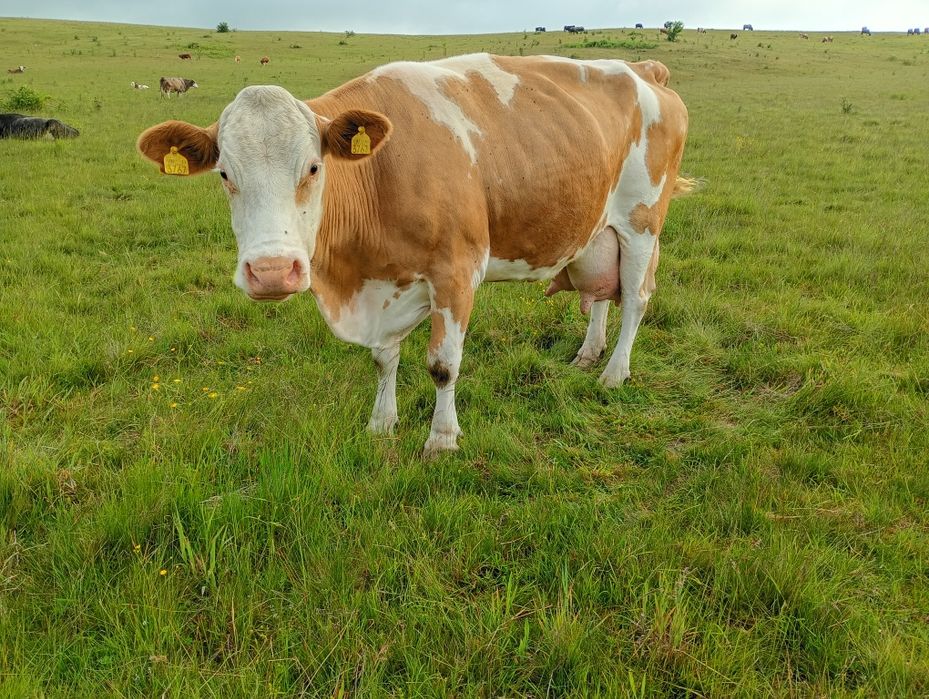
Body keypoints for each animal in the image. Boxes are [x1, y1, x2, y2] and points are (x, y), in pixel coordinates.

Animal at [137, 54, 691, 458]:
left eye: (314, 167)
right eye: (224, 173)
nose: (272, 271)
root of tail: (644, 69)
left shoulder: (457, 272)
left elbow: (443, 364)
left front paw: (441, 439)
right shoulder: (384, 285)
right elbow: (384, 359)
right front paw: (381, 422)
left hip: (642, 223)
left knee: (636, 299)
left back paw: (614, 373)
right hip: (598, 231)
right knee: (602, 294)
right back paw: (589, 352)